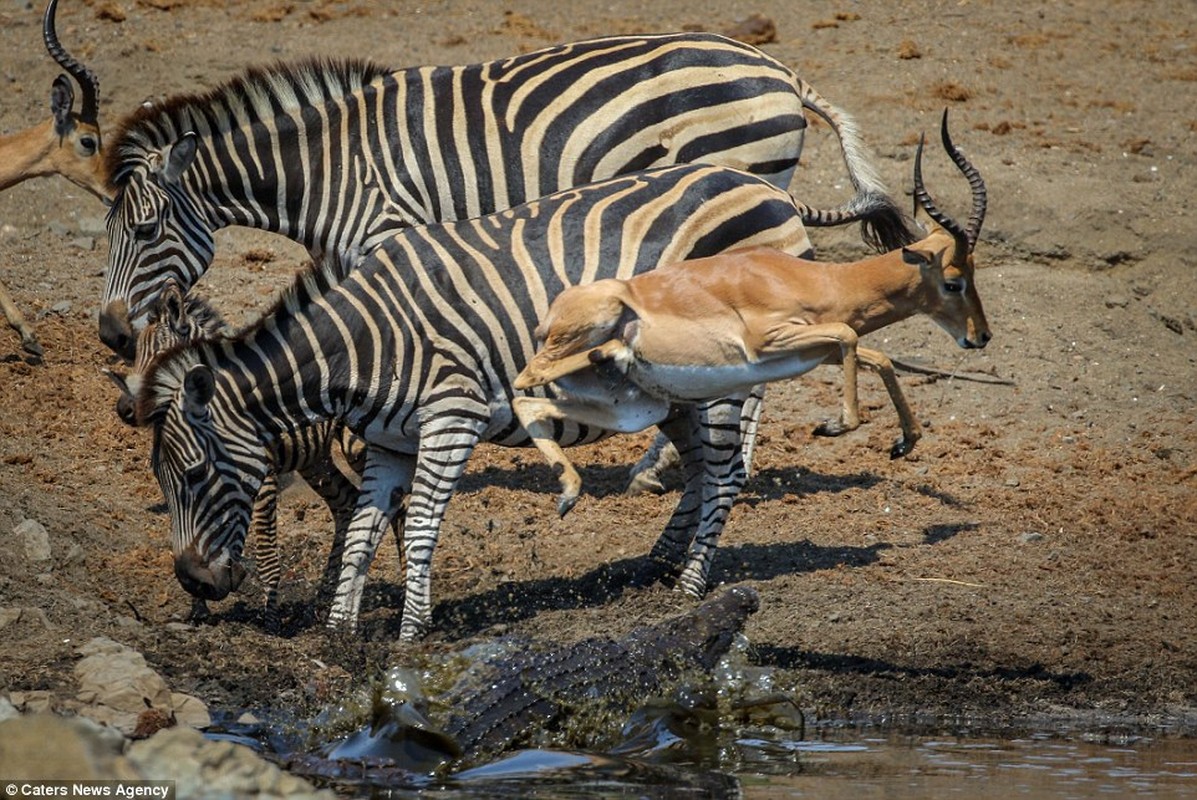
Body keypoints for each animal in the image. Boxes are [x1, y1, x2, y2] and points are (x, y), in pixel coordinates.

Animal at [104, 282, 361, 632]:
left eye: (161, 360)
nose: (126, 410)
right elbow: (194, 534)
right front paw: (198, 609)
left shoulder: (262, 479)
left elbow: (266, 557)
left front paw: (270, 624)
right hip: (315, 462)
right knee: (347, 504)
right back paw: (321, 602)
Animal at [135, 160, 818, 637]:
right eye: (164, 482)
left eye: (194, 475)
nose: (193, 583)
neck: (363, 344)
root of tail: (766, 188)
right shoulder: (388, 441)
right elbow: (362, 529)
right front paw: (338, 633)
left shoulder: (451, 418)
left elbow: (418, 529)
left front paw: (411, 634)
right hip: (676, 390)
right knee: (703, 469)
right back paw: (659, 566)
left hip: (723, 376)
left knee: (727, 473)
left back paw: (691, 587)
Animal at [514, 109, 991, 526]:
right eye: (953, 282)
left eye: (974, 272)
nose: (981, 336)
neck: (820, 281)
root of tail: (551, 314)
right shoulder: (770, 340)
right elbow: (850, 337)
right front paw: (834, 426)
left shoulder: (816, 350)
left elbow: (877, 356)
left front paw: (904, 442)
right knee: (528, 379)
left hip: (624, 404)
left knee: (533, 396)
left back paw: (571, 491)